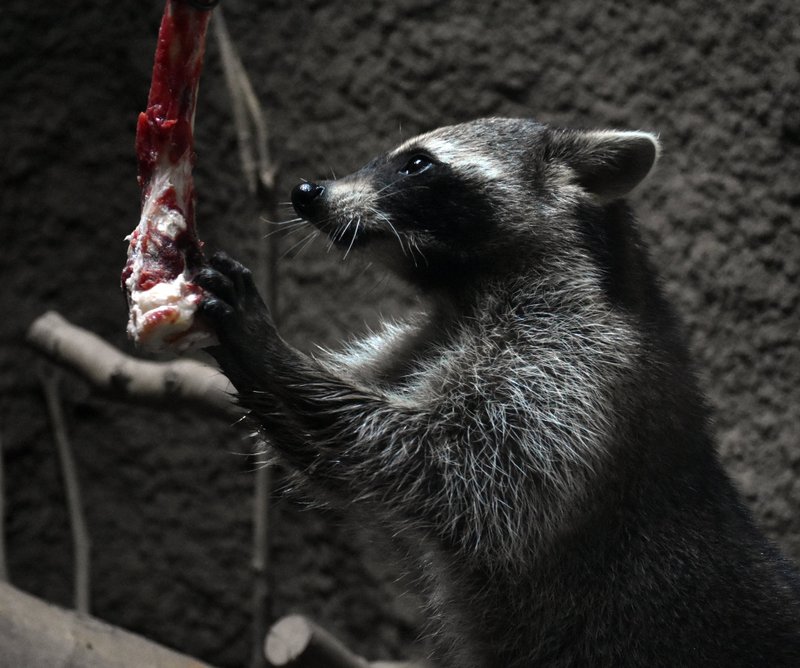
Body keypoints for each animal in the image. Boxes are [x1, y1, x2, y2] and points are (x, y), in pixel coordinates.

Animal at [198, 117, 800, 664]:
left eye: (417, 163)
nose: (306, 192)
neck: (465, 290)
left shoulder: (578, 364)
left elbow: (450, 465)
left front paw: (271, 354)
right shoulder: (428, 340)